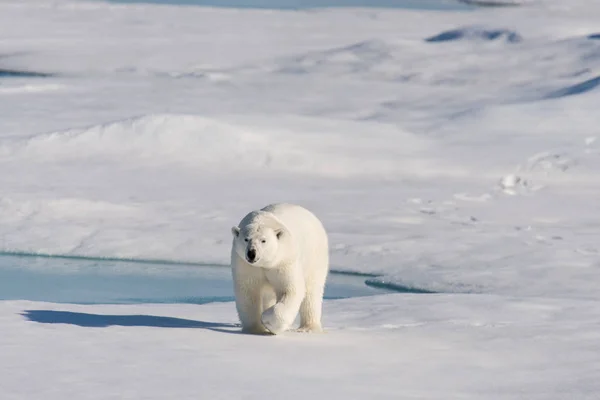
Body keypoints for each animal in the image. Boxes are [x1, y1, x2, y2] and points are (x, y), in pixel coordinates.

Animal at [232, 203, 330, 334]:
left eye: (263, 240)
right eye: (246, 239)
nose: (252, 253)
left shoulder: (283, 261)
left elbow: (289, 289)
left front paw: (267, 320)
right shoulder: (245, 264)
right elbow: (248, 290)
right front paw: (254, 329)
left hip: (314, 256)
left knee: (312, 291)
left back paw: (308, 327)